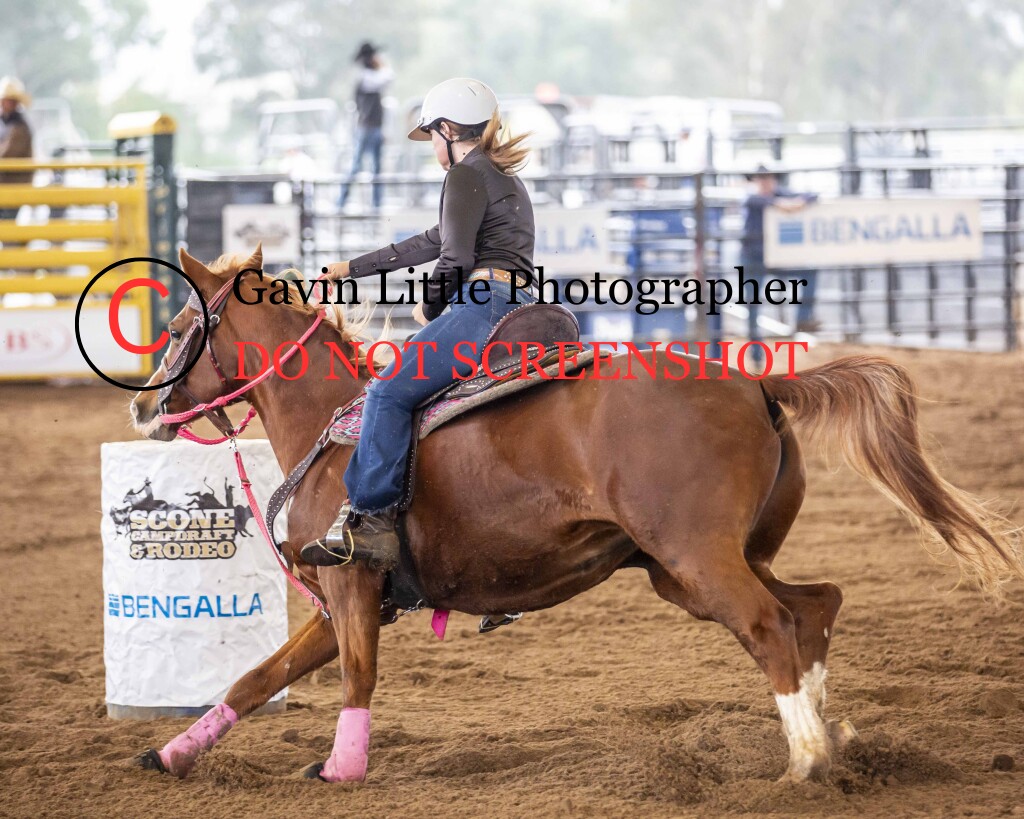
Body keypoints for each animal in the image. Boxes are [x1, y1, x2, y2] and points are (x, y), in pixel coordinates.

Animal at [129, 246, 1023, 784]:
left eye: (176, 326)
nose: (141, 408)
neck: (332, 421)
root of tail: (757, 383)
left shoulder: (352, 589)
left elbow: (357, 675)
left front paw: (341, 767)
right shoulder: (343, 599)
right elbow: (254, 677)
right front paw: (170, 750)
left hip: (699, 559)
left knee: (771, 624)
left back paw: (803, 760)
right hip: (701, 566)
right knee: (816, 604)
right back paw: (830, 735)